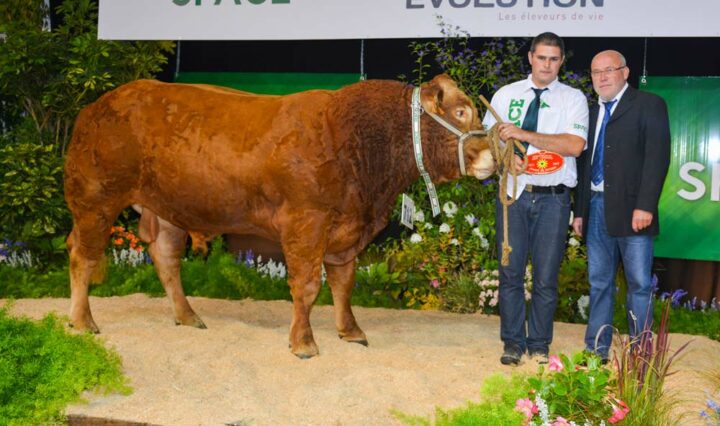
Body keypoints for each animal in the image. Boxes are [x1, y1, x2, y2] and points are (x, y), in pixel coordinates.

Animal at [63, 75, 496, 358]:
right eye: (460, 110)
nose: (492, 157)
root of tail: (96, 106)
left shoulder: (347, 230)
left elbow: (343, 283)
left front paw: (350, 331)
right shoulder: (306, 223)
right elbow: (306, 286)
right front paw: (303, 342)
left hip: (166, 209)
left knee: (166, 259)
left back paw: (188, 316)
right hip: (95, 200)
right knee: (82, 257)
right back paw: (82, 321)